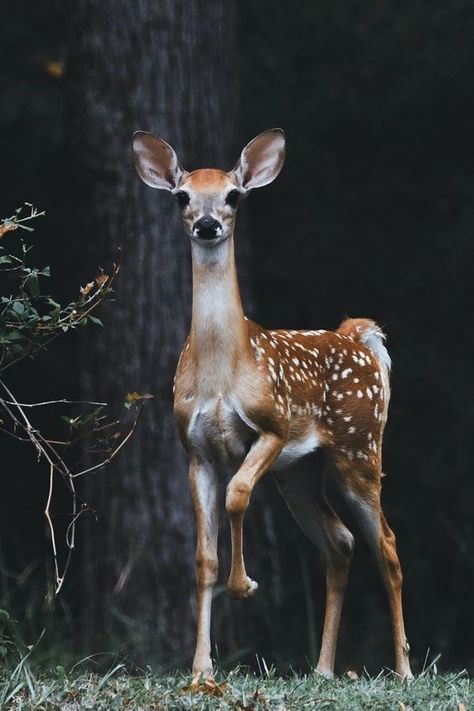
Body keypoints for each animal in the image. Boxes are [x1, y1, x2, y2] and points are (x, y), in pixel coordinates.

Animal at [132, 131, 412, 680]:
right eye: (182, 196)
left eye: (234, 195)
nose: (207, 224)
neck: (223, 372)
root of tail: (359, 337)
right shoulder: (195, 451)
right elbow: (203, 558)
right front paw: (201, 669)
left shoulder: (273, 426)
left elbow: (238, 494)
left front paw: (245, 586)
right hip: (300, 472)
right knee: (340, 542)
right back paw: (322, 669)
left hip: (360, 448)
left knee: (386, 544)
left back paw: (404, 670)